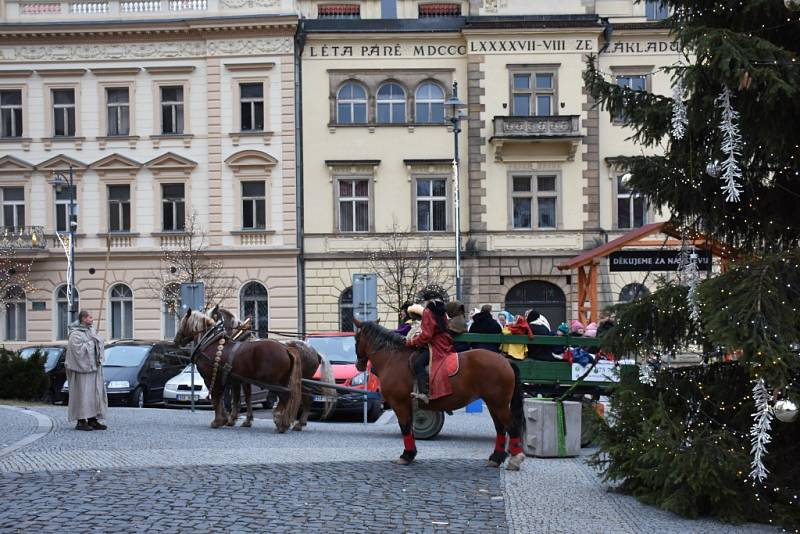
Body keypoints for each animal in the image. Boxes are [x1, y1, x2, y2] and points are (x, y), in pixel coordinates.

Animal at [354, 320, 524, 472]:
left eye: (356, 339)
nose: (359, 365)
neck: (393, 359)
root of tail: (505, 361)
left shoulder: (399, 404)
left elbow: (405, 428)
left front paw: (406, 455)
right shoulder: (408, 405)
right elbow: (410, 428)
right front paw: (411, 453)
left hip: (499, 404)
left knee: (512, 426)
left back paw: (515, 459)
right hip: (493, 403)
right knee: (500, 428)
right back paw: (496, 458)